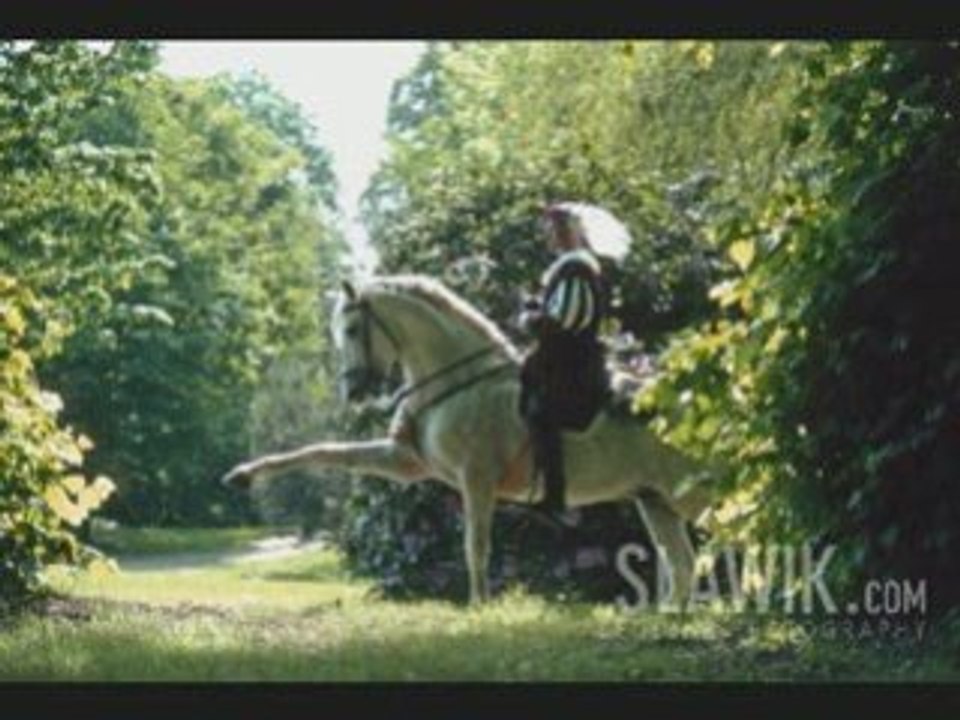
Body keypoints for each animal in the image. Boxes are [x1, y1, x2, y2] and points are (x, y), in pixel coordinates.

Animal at [221, 275, 716, 606]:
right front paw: (243, 475)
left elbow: (475, 546)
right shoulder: (406, 461)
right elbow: (326, 452)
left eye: (352, 330)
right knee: (684, 564)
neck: (455, 383)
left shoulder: (476, 480)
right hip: (655, 502)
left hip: (690, 498)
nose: (353, 391)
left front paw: (479, 606)